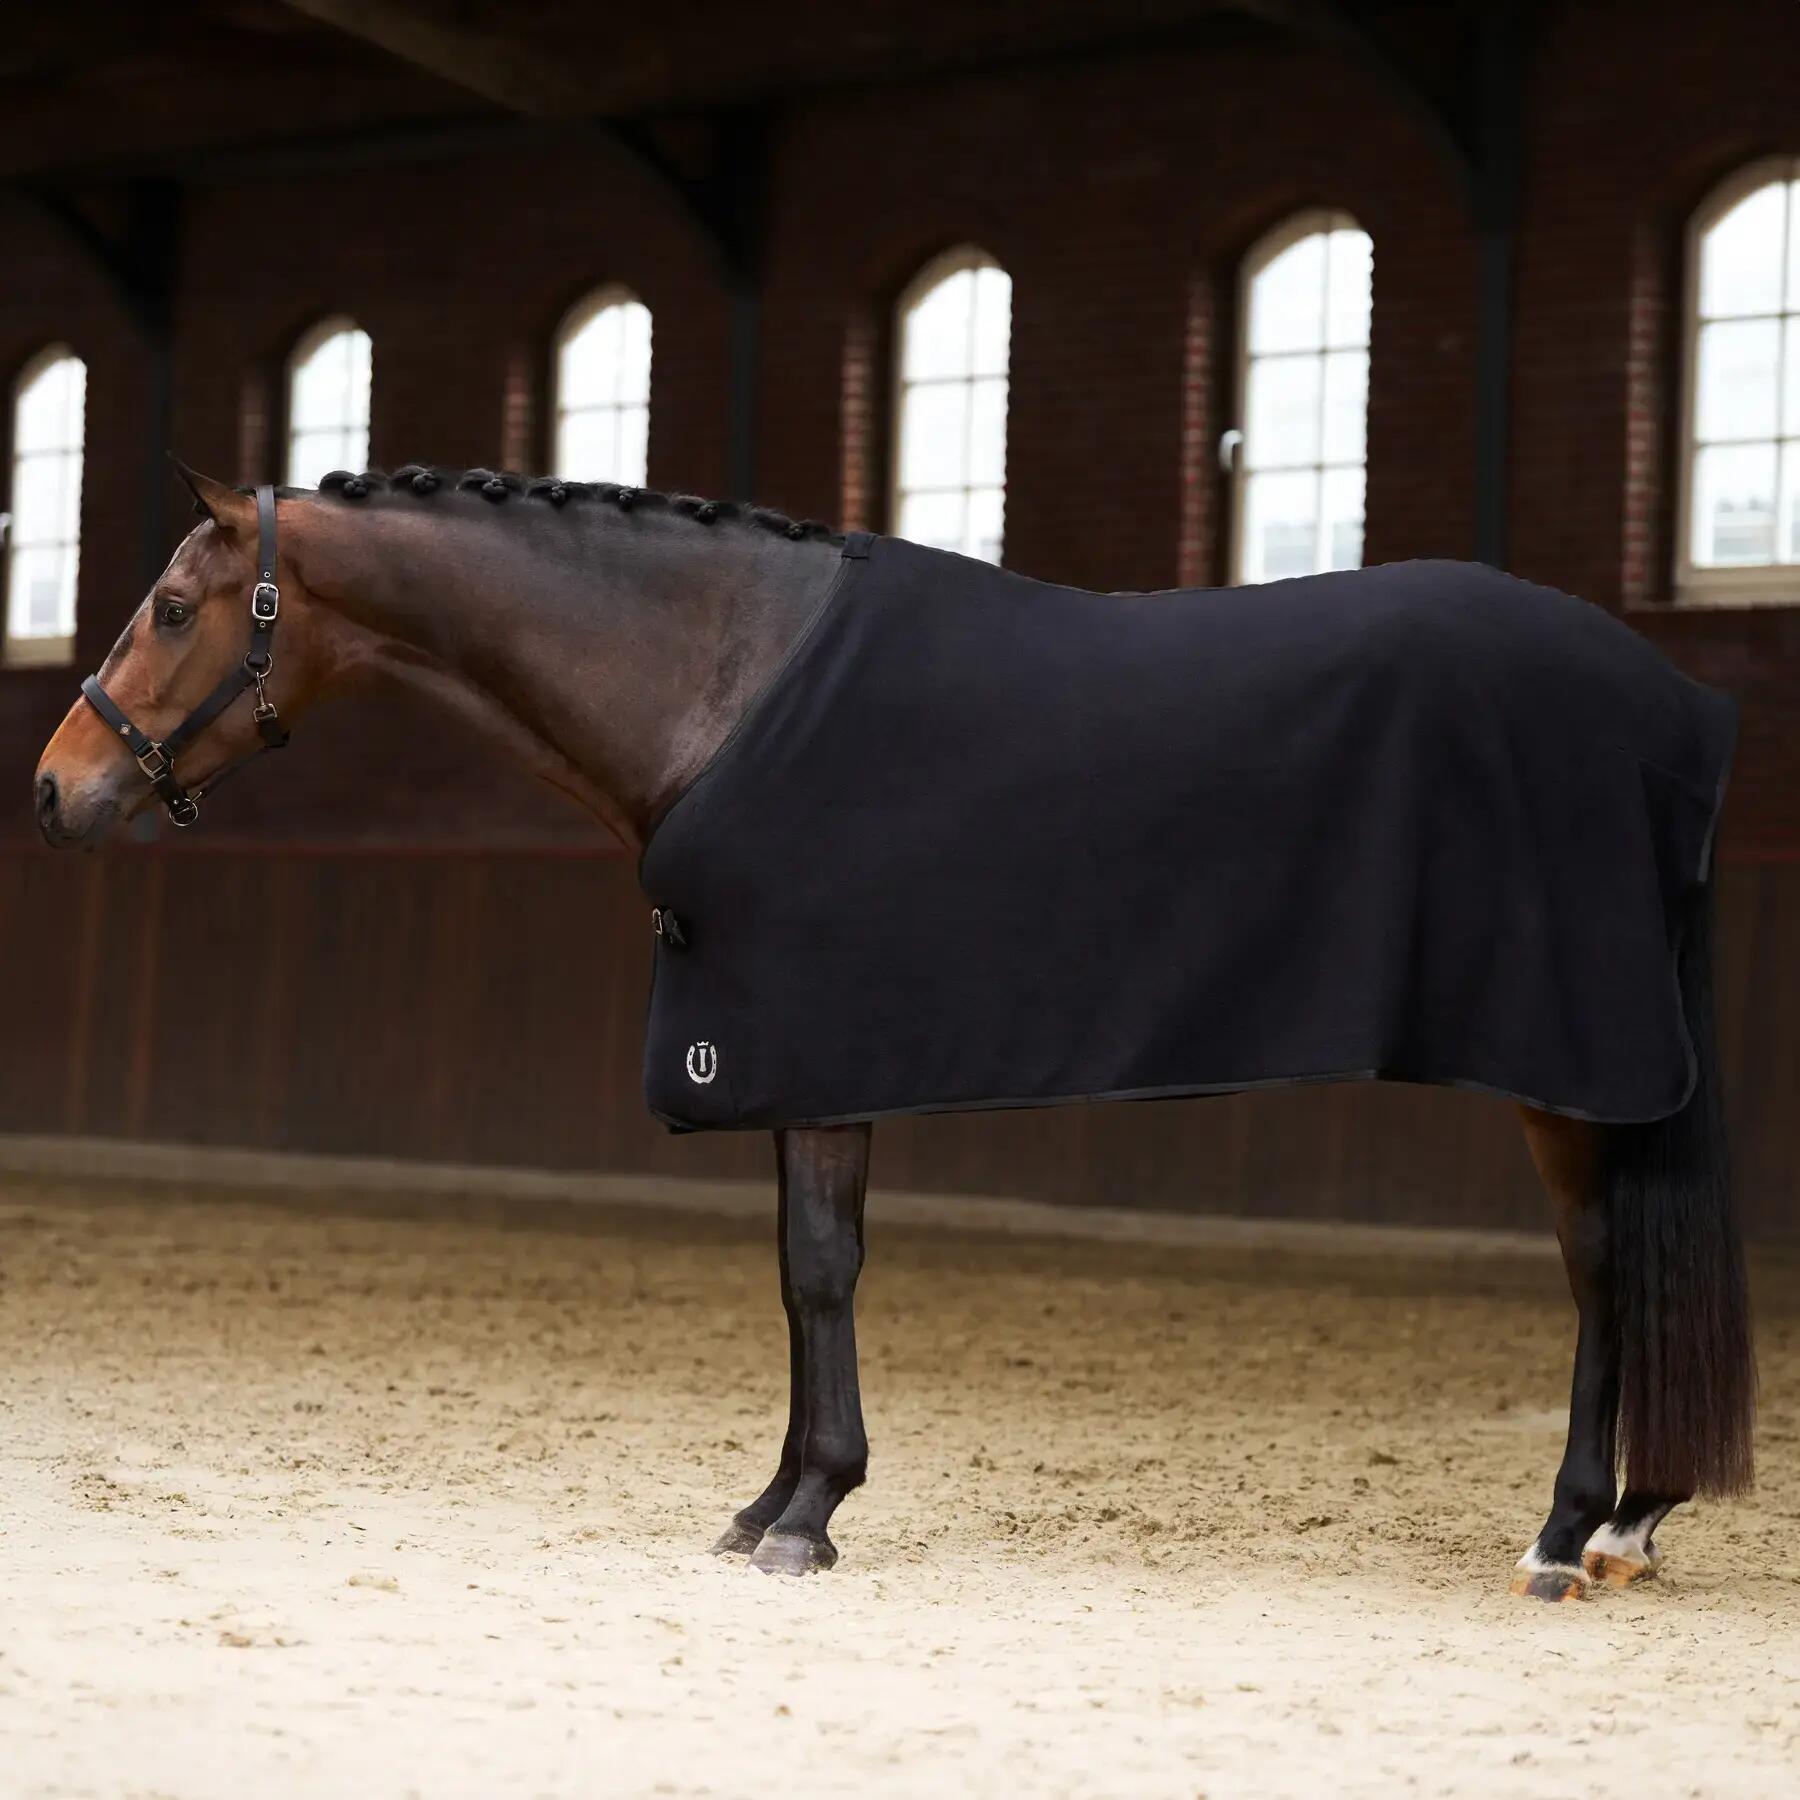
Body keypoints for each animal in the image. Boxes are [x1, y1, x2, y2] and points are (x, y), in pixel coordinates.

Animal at [34, 463, 1755, 1599]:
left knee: (1601, 1272)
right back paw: (1630, 1522)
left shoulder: (812, 1044)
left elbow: (819, 1270)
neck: (722, 675)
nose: (57, 788)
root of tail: (1668, 707)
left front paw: (809, 1514)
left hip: (1563, 1074)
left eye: (173, 605)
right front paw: (774, 1500)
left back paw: (1567, 1532)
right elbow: (800, 1275)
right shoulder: (791, 1052)